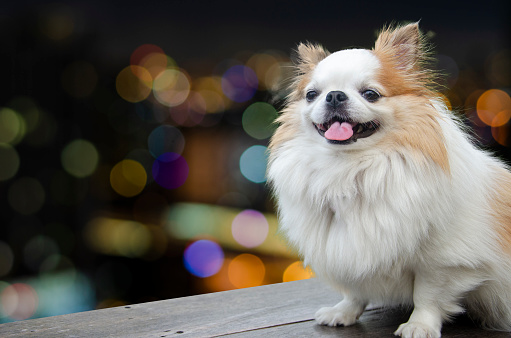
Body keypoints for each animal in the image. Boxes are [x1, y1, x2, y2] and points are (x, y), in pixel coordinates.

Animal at [268, 22, 511, 336]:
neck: (350, 169)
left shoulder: (444, 259)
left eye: (370, 94)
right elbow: (355, 290)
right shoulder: (348, 249)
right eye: (311, 95)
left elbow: (428, 295)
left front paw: (419, 325)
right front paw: (343, 312)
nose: (334, 95)